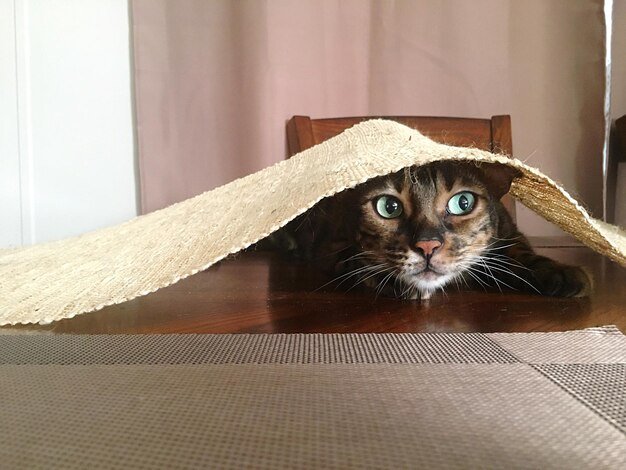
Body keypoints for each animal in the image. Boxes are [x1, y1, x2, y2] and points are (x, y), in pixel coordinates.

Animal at [276, 162, 588, 300]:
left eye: (463, 203)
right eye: (389, 207)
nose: (427, 245)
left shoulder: (509, 230)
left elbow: (521, 251)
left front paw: (561, 273)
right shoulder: (330, 247)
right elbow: (355, 262)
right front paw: (396, 281)